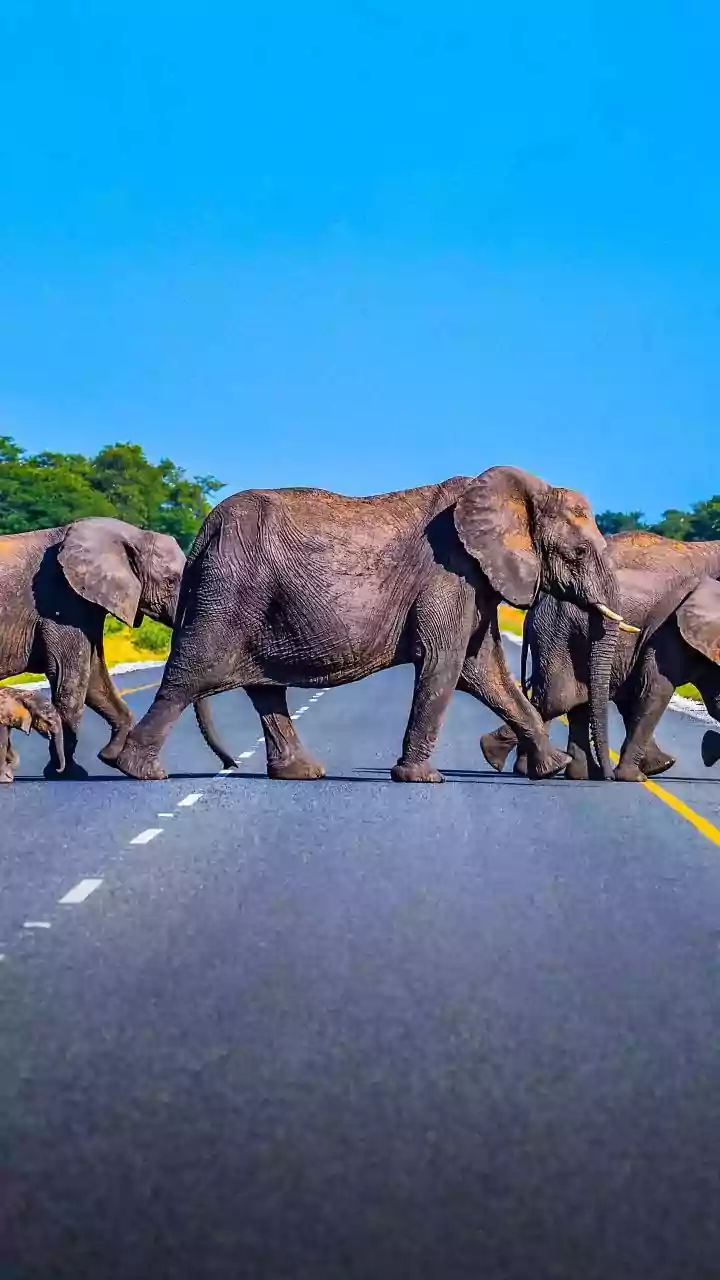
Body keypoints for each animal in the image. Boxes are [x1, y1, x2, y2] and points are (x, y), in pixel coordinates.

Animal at [0, 517, 234, 779]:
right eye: (171, 581)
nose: (230, 765)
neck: (130, 534)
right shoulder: (59, 601)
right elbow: (71, 679)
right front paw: (68, 773)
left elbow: (94, 677)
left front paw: (109, 757)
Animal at [112, 466, 633, 783]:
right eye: (578, 553)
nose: (606, 778)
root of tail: (204, 529)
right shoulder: (451, 574)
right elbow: (444, 667)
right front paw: (422, 780)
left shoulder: (475, 583)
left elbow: (486, 674)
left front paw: (549, 770)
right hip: (229, 591)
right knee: (190, 675)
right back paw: (136, 770)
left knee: (264, 689)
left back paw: (301, 773)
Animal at [481, 530, 720, 782]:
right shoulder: (669, 632)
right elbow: (656, 688)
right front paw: (632, 778)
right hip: (558, 634)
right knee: (559, 699)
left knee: (576, 699)